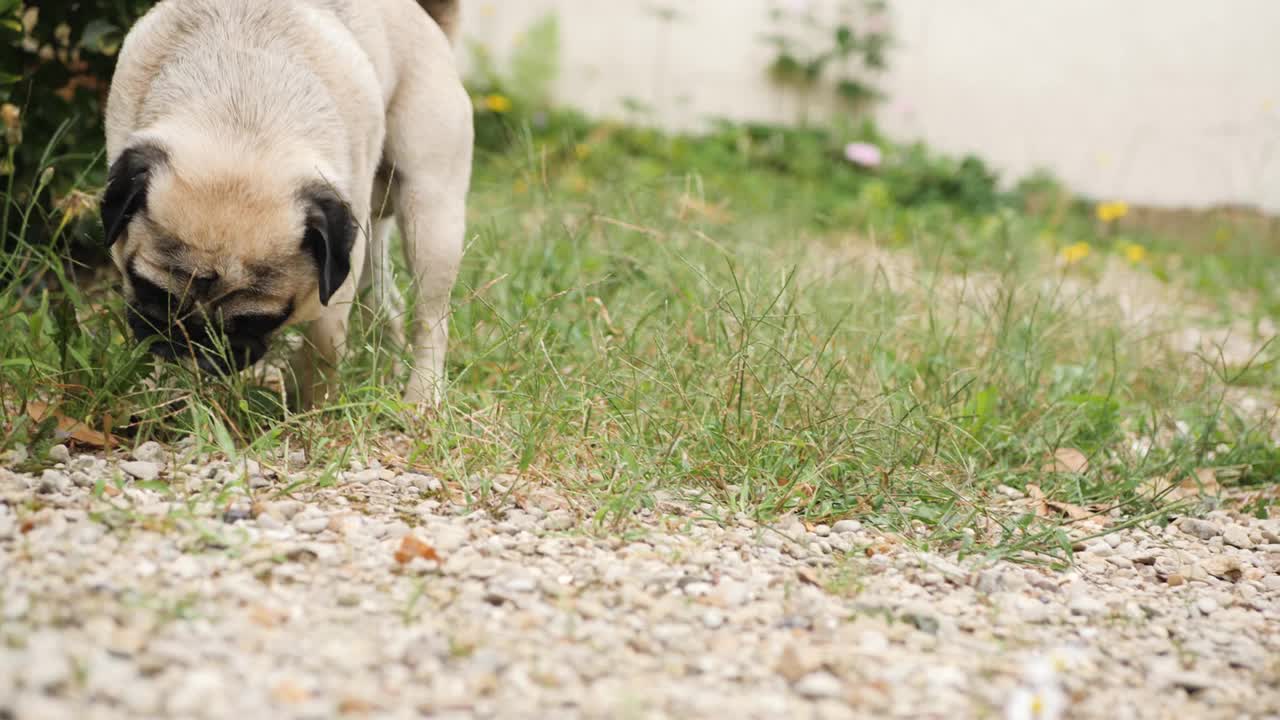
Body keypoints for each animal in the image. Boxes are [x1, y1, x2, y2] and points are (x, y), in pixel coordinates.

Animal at [98, 0, 471, 407]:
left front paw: (312, 407)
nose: (197, 342)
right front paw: (162, 393)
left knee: (431, 321)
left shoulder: (336, 275)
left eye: (257, 320)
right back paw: (387, 369)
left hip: (431, 218)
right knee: (388, 305)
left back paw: (420, 398)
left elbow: (324, 343)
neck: (241, 114)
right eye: (151, 291)